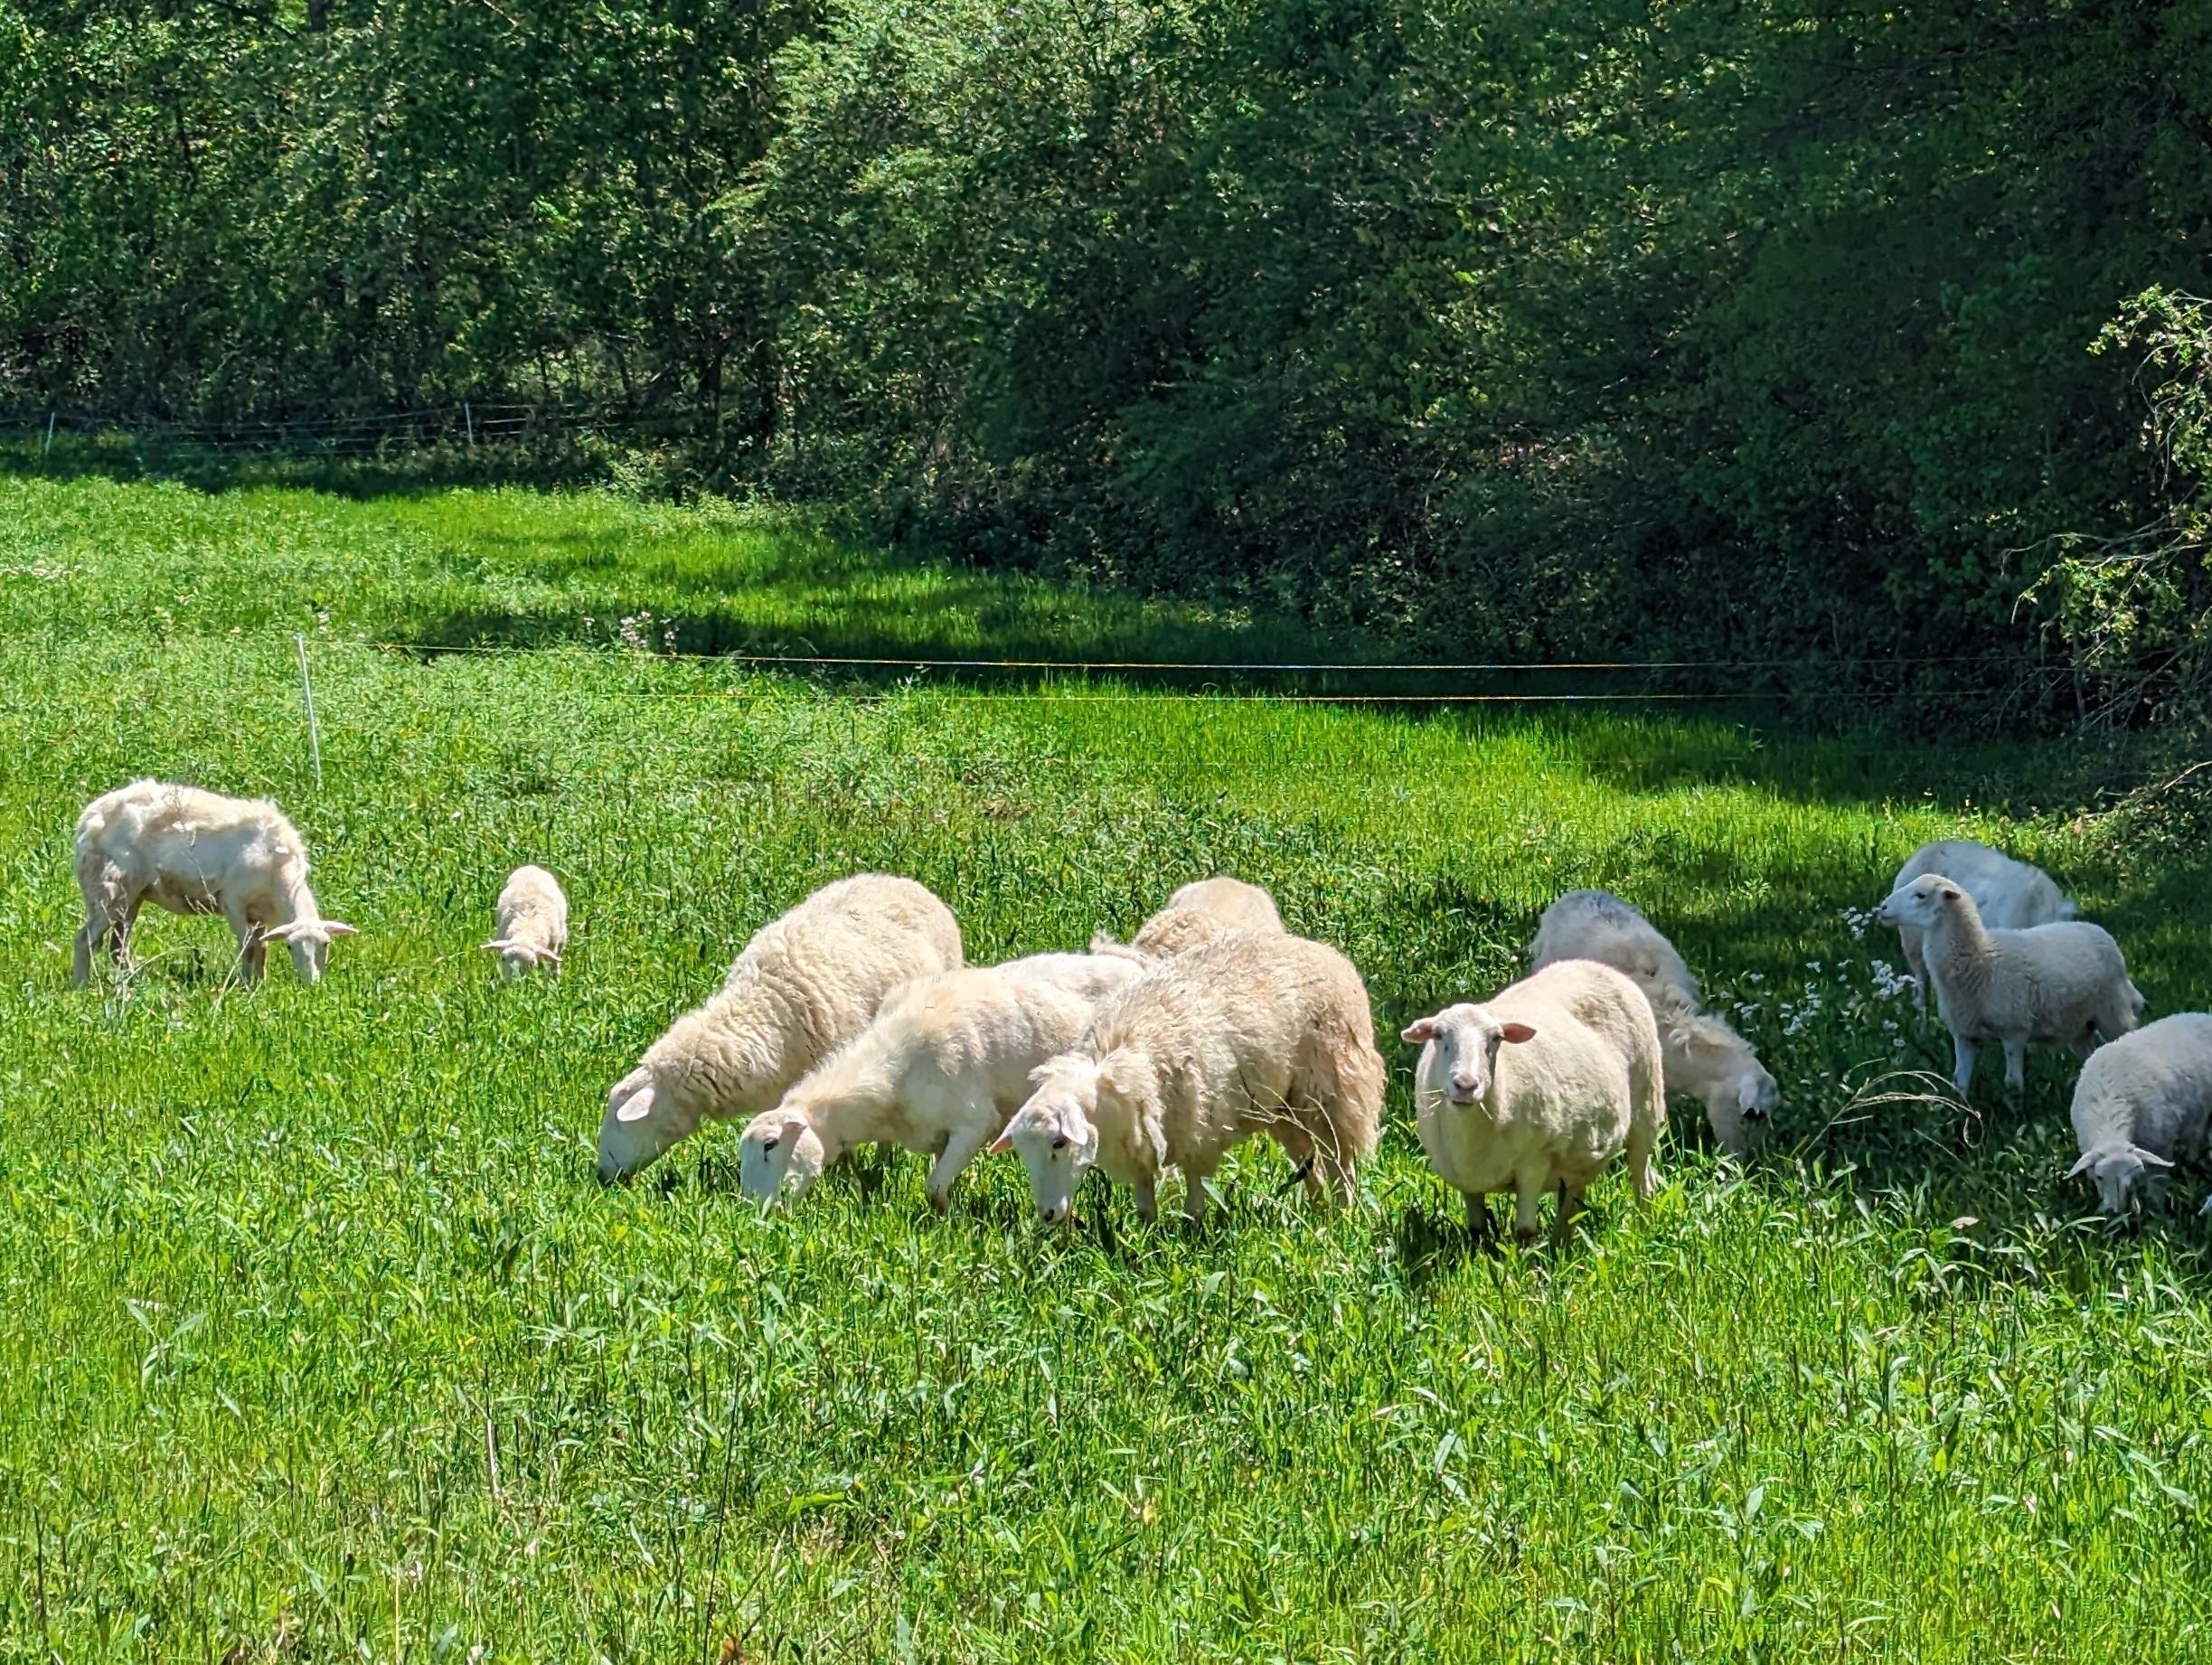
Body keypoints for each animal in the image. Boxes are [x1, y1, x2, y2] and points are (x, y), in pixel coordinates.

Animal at [71, 778, 358, 986]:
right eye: (289, 946)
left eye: (326, 944)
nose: (312, 984)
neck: (280, 872)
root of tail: (89, 817)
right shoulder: (234, 901)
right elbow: (248, 947)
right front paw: (245, 986)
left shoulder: (260, 913)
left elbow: (262, 947)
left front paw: (260, 983)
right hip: (109, 888)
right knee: (85, 939)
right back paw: (81, 986)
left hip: (132, 895)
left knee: (117, 947)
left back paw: (130, 983)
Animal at [995, 929, 1384, 1225]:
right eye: (1022, 1152)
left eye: (1059, 1143)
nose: (1047, 1215)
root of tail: (1325, 951)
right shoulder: (1142, 1149)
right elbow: (1145, 1208)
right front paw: (1146, 1247)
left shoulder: (1201, 1138)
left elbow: (1194, 1204)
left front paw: (1192, 1239)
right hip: (1284, 1109)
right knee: (1312, 1166)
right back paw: (1320, 1217)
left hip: (1332, 1093)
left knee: (1341, 1165)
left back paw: (1344, 1217)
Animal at [1403, 959, 1666, 1246]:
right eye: (1437, 1035)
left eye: (1496, 1038)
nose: (1466, 1085)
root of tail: (1596, 965)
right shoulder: (1466, 1180)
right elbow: (1477, 1231)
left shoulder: (1534, 1163)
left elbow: (1525, 1231)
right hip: (1582, 1154)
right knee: (1573, 1202)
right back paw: (1562, 1244)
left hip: (1646, 1108)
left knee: (1643, 1180)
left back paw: (1643, 1229)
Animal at [1874, 873, 2143, 1097]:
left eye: (1921, 895)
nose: (1883, 908)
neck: (1980, 957)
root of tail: (2100, 932)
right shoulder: (1963, 1034)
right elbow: (1959, 1083)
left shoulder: (2014, 1030)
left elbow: (2012, 1082)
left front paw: (2016, 1108)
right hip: (2079, 1025)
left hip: (2113, 1012)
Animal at [2064, 1014, 2212, 1215]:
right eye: (2100, 1177)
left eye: (2130, 1172)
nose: (2117, 1211)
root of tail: (2204, 1016)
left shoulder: (2160, 1143)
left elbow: (2157, 1180)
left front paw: (2156, 1208)